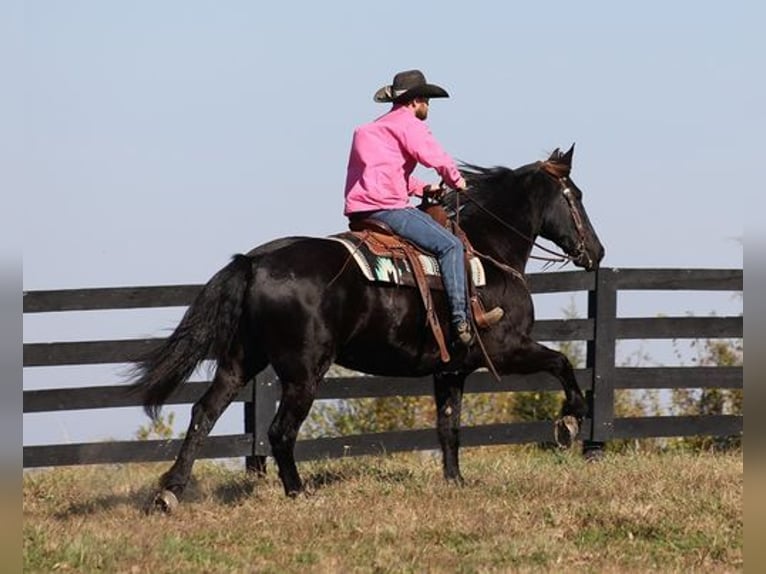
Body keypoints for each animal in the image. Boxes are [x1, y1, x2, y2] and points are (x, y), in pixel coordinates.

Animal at [132, 145, 608, 512]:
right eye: (576, 196)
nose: (597, 252)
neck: (488, 254)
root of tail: (255, 262)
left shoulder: (450, 371)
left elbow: (448, 426)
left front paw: (455, 480)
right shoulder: (508, 348)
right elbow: (561, 364)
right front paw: (568, 423)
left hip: (241, 361)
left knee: (204, 413)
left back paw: (169, 493)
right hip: (303, 373)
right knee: (279, 431)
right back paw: (297, 491)